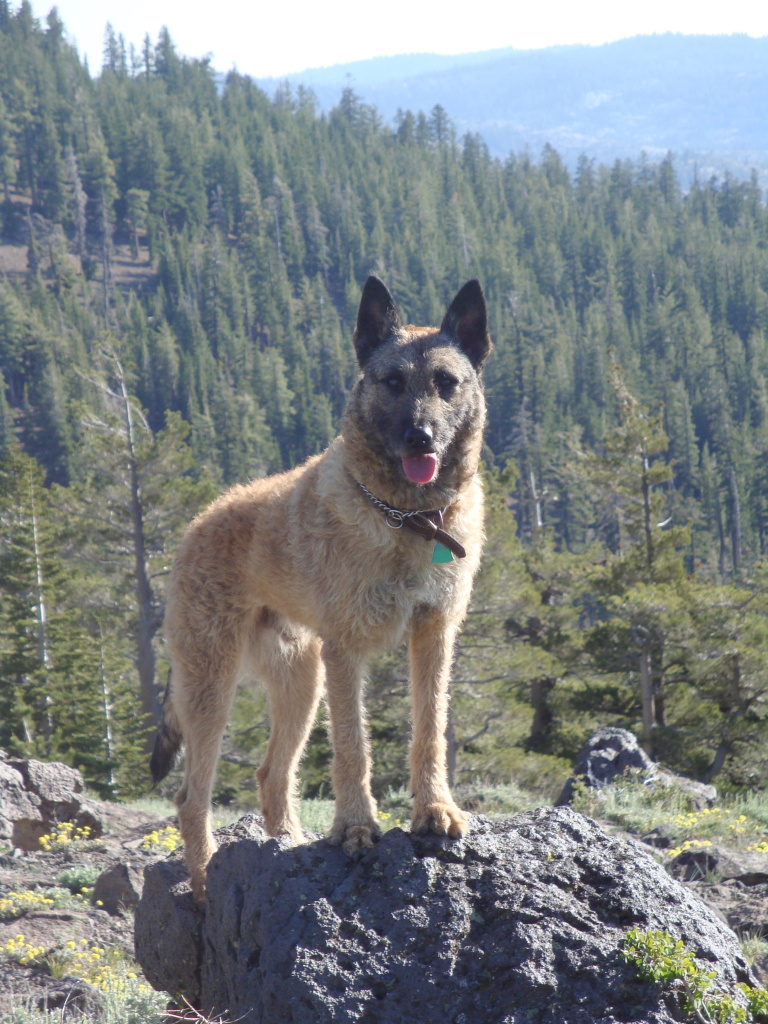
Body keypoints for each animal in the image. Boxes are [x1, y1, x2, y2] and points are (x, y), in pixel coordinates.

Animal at [151, 276, 493, 901]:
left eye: (446, 383)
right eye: (391, 382)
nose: (420, 437)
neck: (408, 519)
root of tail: (194, 526)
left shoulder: (433, 637)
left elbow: (430, 731)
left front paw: (435, 810)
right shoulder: (346, 653)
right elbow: (353, 748)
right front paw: (356, 828)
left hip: (299, 681)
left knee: (270, 774)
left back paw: (286, 843)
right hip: (213, 687)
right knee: (192, 799)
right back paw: (209, 887)